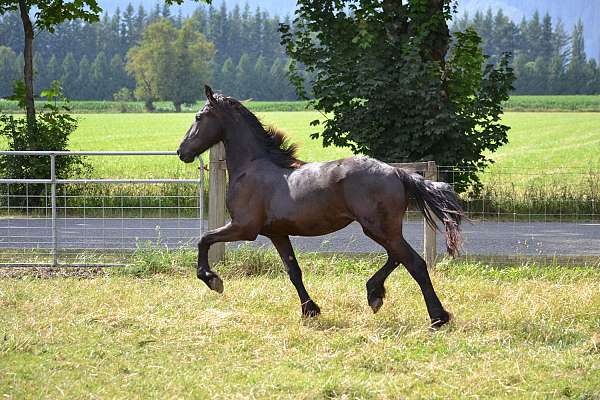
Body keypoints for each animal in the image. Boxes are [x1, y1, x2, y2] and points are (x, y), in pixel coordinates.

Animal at [178, 86, 464, 326]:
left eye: (198, 117)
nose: (182, 152)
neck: (252, 167)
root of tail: (397, 172)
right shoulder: (277, 233)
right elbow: (293, 271)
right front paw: (310, 310)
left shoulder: (243, 228)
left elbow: (204, 239)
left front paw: (212, 279)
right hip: (384, 229)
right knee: (397, 257)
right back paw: (375, 294)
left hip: (378, 228)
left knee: (414, 263)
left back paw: (437, 317)